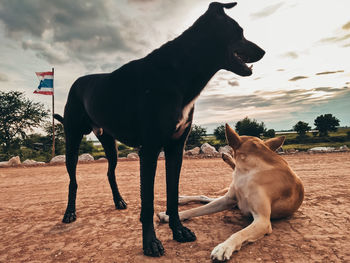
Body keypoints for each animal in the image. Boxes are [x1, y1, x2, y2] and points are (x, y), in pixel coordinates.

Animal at [54, 2, 262, 258]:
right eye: (239, 32)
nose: (263, 52)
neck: (179, 71)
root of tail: (76, 82)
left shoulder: (175, 149)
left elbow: (172, 195)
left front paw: (178, 230)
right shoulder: (150, 150)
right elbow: (148, 201)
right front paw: (150, 243)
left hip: (110, 144)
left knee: (110, 172)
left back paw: (119, 201)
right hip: (72, 141)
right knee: (73, 180)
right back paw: (69, 213)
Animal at [159, 125, 304, 262]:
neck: (249, 171)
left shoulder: (263, 220)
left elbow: (240, 233)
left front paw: (224, 247)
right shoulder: (228, 199)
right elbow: (196, 210)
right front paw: (170, 216)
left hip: (235, 204)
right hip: (230, 200)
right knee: (206, 197)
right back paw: (181, 199)